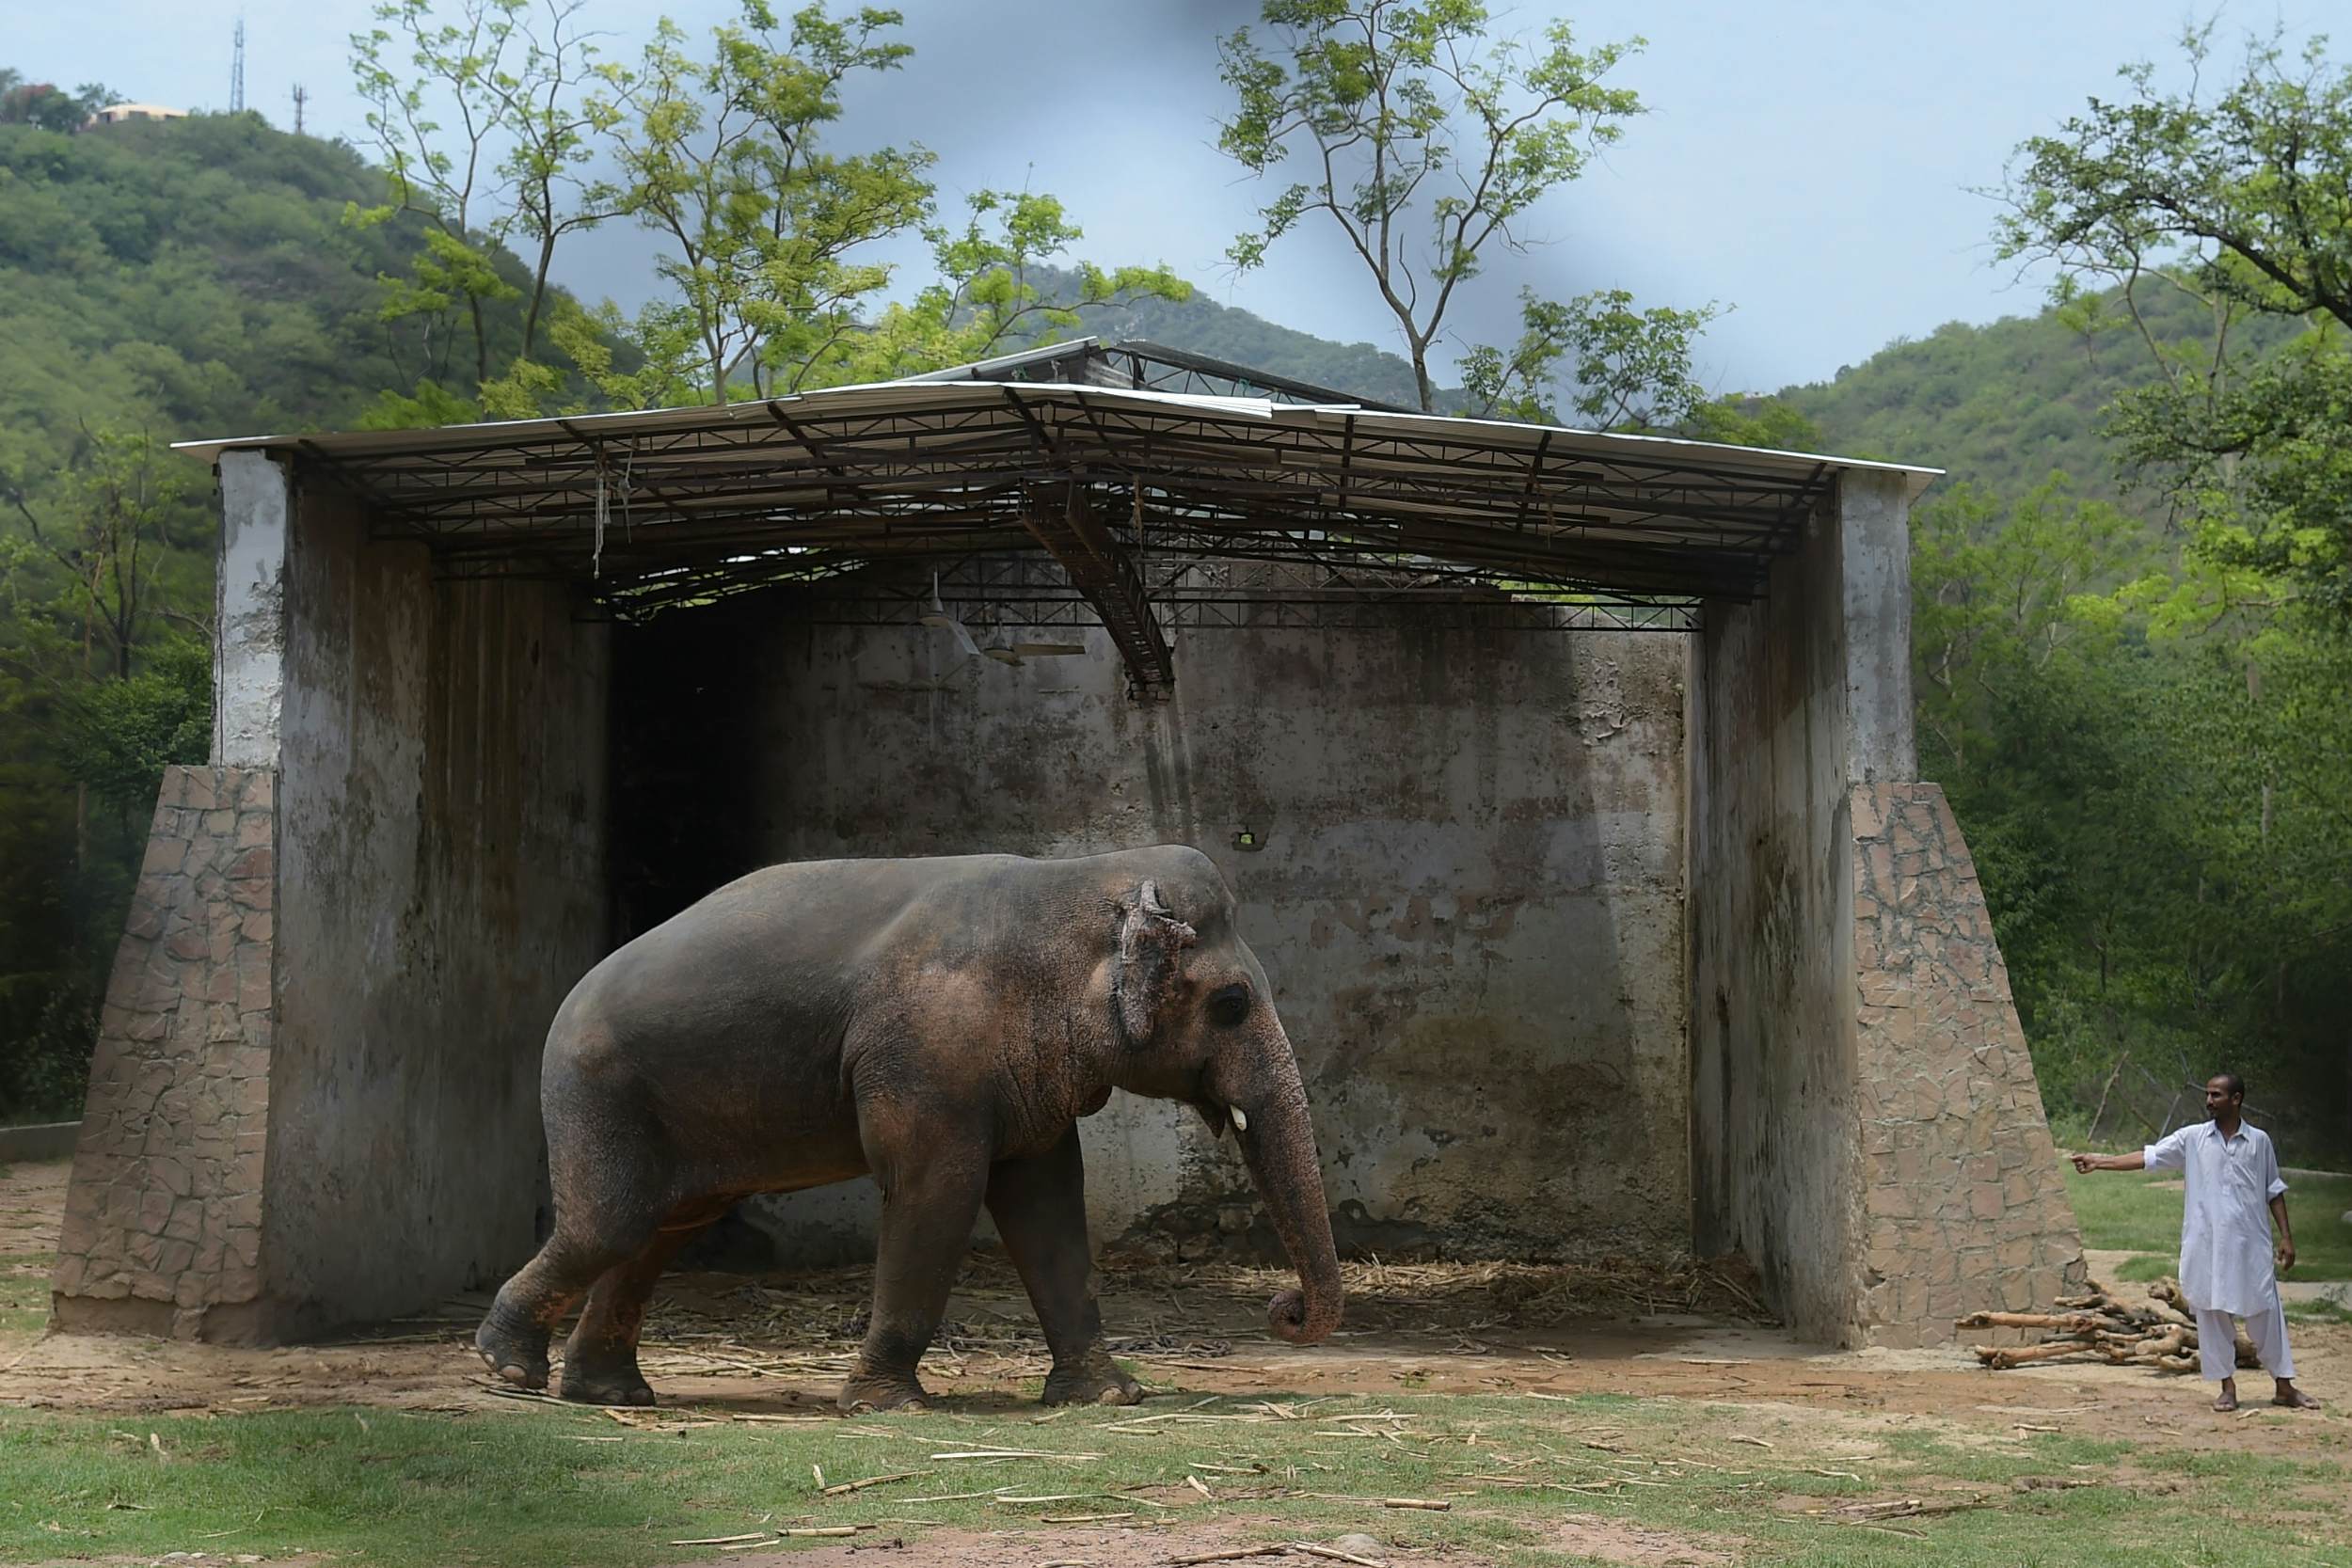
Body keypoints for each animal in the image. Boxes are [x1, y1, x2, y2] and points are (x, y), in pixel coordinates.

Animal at [477, 846, 1345, 1410]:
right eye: (1231, 1003)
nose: (1283, 1310)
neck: (1074, 878)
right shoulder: (927, 1052)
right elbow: (939, 1190)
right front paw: (888, 1405)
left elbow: (1047, 1202)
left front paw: (1109, 1397)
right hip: (599, 1089)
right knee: (612, 1223)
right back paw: (508, 1368)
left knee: (664, 1228)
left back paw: (608, 1393)